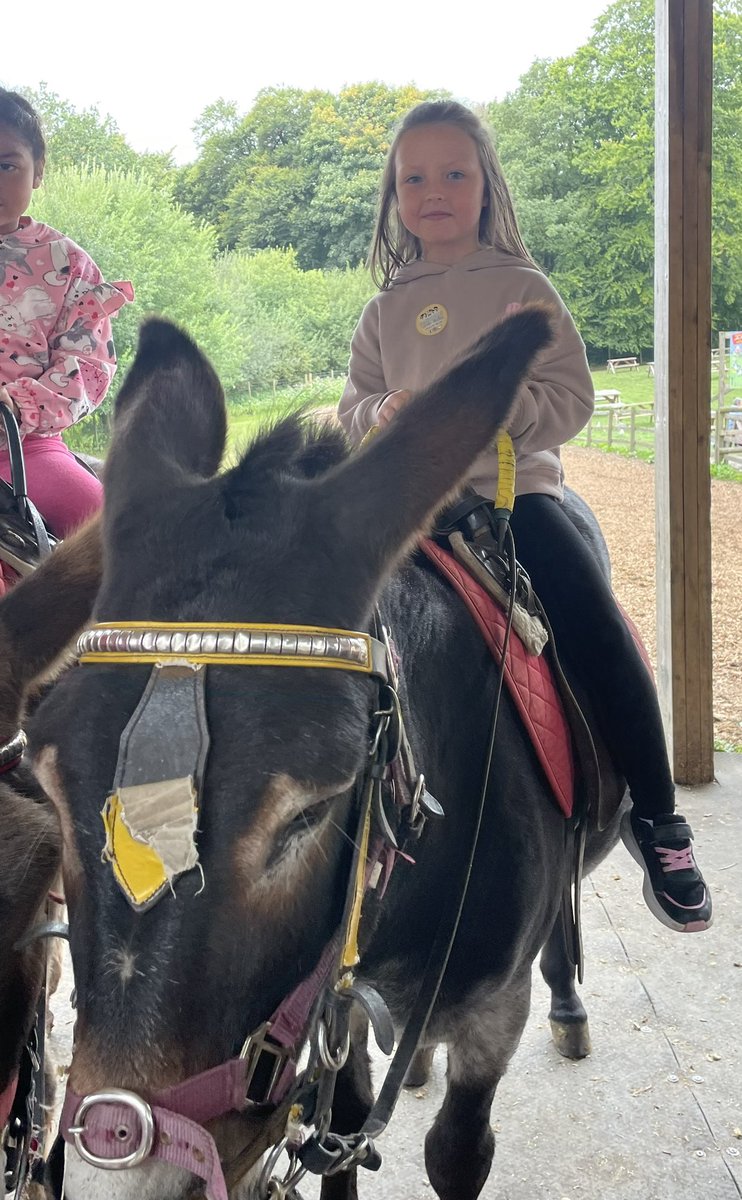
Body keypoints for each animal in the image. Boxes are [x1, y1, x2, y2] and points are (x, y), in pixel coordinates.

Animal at [16, 310, 626, 1200]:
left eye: (308, 813)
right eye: (50, 786)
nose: (122, 1152)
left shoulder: (490, 1019)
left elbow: (458, 1150)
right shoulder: (338, 1012)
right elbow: (343, 1123)